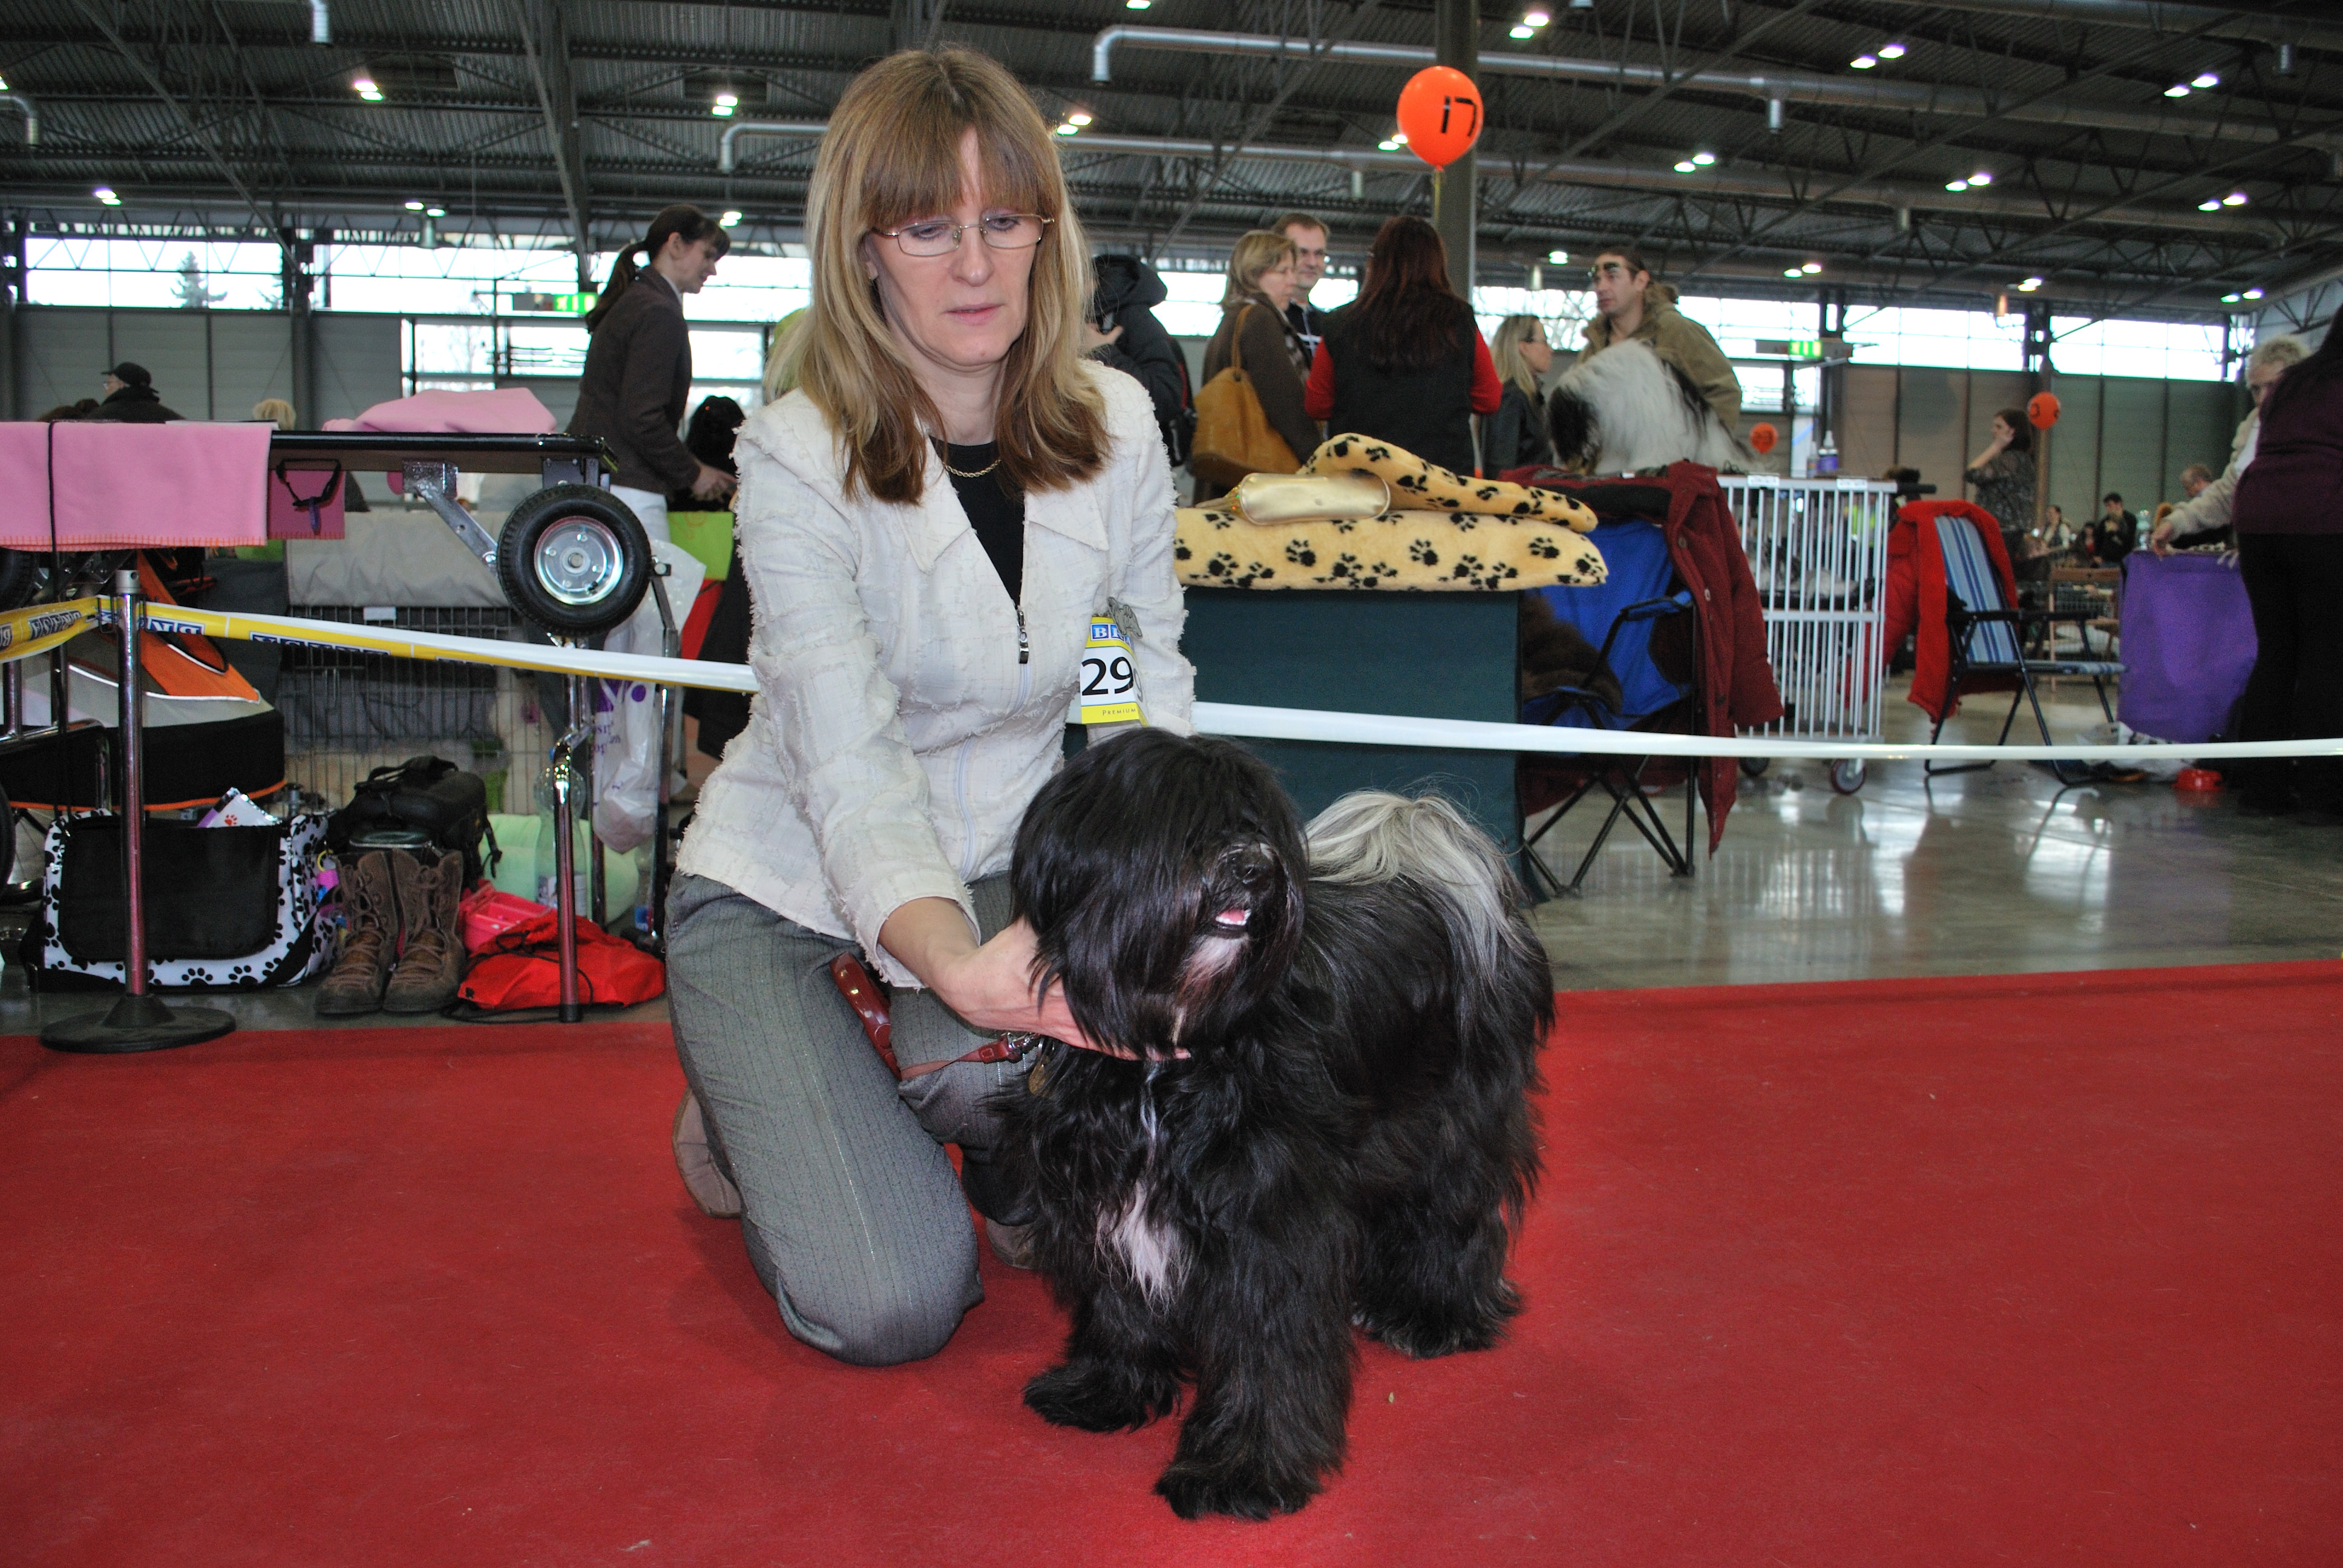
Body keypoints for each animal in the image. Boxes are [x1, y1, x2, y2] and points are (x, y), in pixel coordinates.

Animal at [993, 728, 1553, 1520]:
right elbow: (1119, 1304)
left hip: (1456, 1124)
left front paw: (1240, 1470)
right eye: (1180, 821)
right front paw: (1107, 1389)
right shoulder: (1107, 1194)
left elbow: (1265, 1349)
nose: (1254, 869)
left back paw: (1432, 1314)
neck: (1168, 1054)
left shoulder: (1269, 1224)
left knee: (1453, 1215)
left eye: (1255, 823)